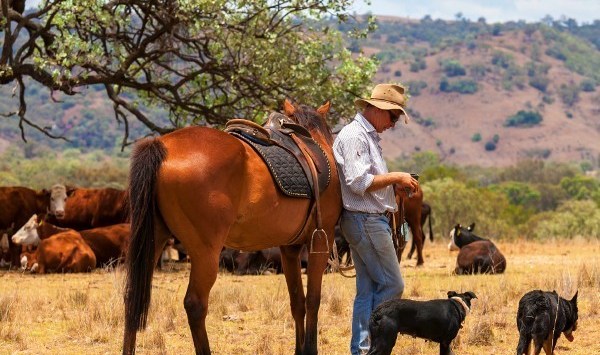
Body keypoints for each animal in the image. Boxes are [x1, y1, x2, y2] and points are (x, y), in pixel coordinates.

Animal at [122, 101, 342, 355]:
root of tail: (162, 146)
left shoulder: (290, 248)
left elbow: (298, 301)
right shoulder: (320, 240)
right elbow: (314, 300)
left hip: (153, 240)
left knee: (132, 298)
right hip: (205, 253)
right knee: (195, 305)